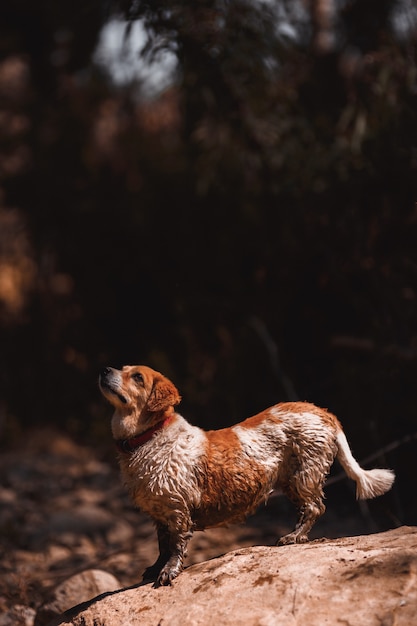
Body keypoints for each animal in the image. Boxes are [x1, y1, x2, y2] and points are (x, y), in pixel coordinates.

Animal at [99, 360, 394, 584]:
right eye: (123, 368)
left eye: (137, 377)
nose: (104, 369)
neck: (148, 437)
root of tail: (323, 412)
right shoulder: (160, 514)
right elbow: (162, 544)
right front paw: (155, 567)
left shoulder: (178, 510)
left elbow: (176, 545)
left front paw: (169, 571)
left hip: (304, 474)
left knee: (314, 507)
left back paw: (293, 537)